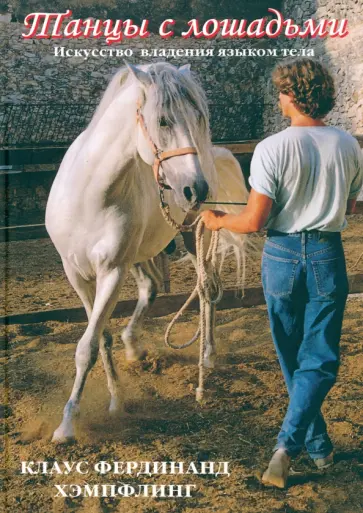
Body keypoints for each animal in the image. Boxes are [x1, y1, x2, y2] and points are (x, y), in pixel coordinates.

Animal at [45, 62, 250, 442]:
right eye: (163, 121)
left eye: (199, 118)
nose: (196, 189)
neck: (90, 195)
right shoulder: (77, 274)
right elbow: (101, 338)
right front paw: (115, 399)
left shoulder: (112, 272)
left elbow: (87, 347)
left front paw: (68, 424)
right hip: (139, 256)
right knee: (151, 289)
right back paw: (134, 346)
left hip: (195, 237)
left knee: (207, 288)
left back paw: (208, 357)